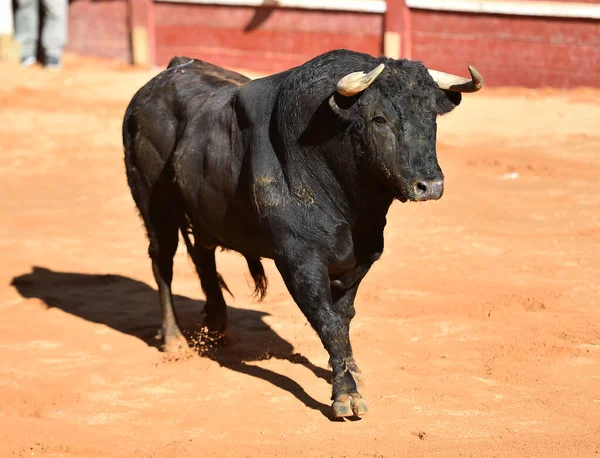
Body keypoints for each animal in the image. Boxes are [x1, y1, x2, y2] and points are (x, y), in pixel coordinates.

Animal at [123, 48, 482, 416]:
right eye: (379, 119)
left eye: (432, 117)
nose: (430, 186)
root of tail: (161, 80)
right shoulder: (299, 260)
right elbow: (328, 321)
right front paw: (346, 394)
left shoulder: (362, 257)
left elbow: (344, 315)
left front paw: (351, 369)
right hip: (154, 206)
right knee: (163, 262)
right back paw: (174, 338)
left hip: (203, 212)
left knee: (203, 256)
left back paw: (217, 328)